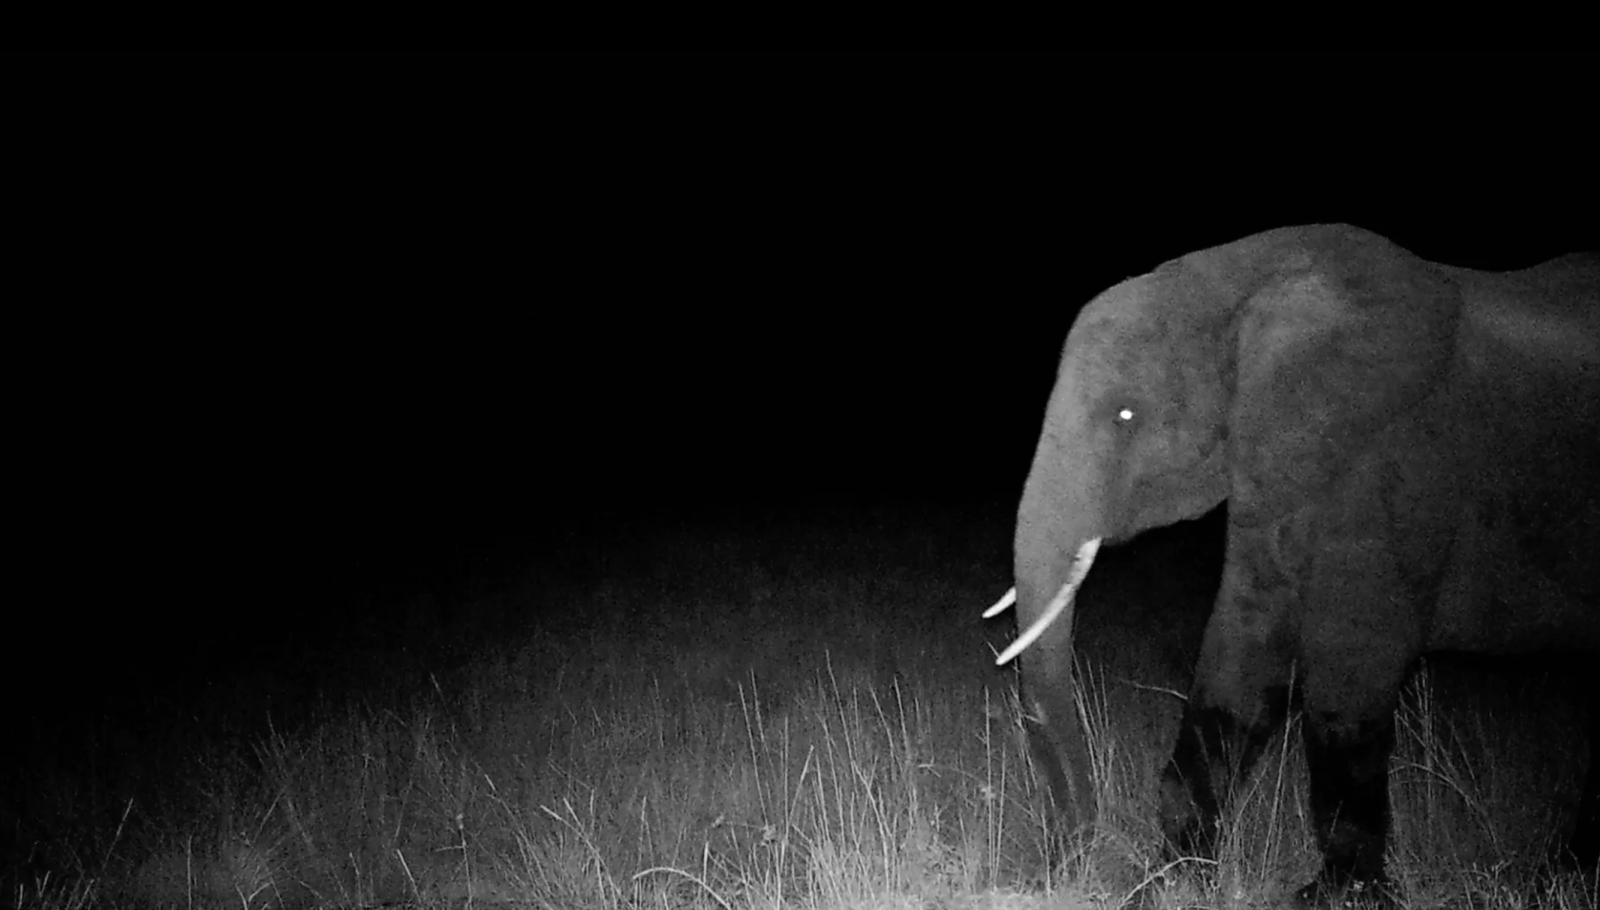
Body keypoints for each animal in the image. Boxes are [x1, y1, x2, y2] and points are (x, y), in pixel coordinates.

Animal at [985, 224, 1600, 905]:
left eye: (1125, 416)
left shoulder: (1393, 463)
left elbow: (1350, 669)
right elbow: (1243, 654)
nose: (1070, 859)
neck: (1239, 281)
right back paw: (1567, 876)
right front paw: (1172, 879)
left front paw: (1336, 896)